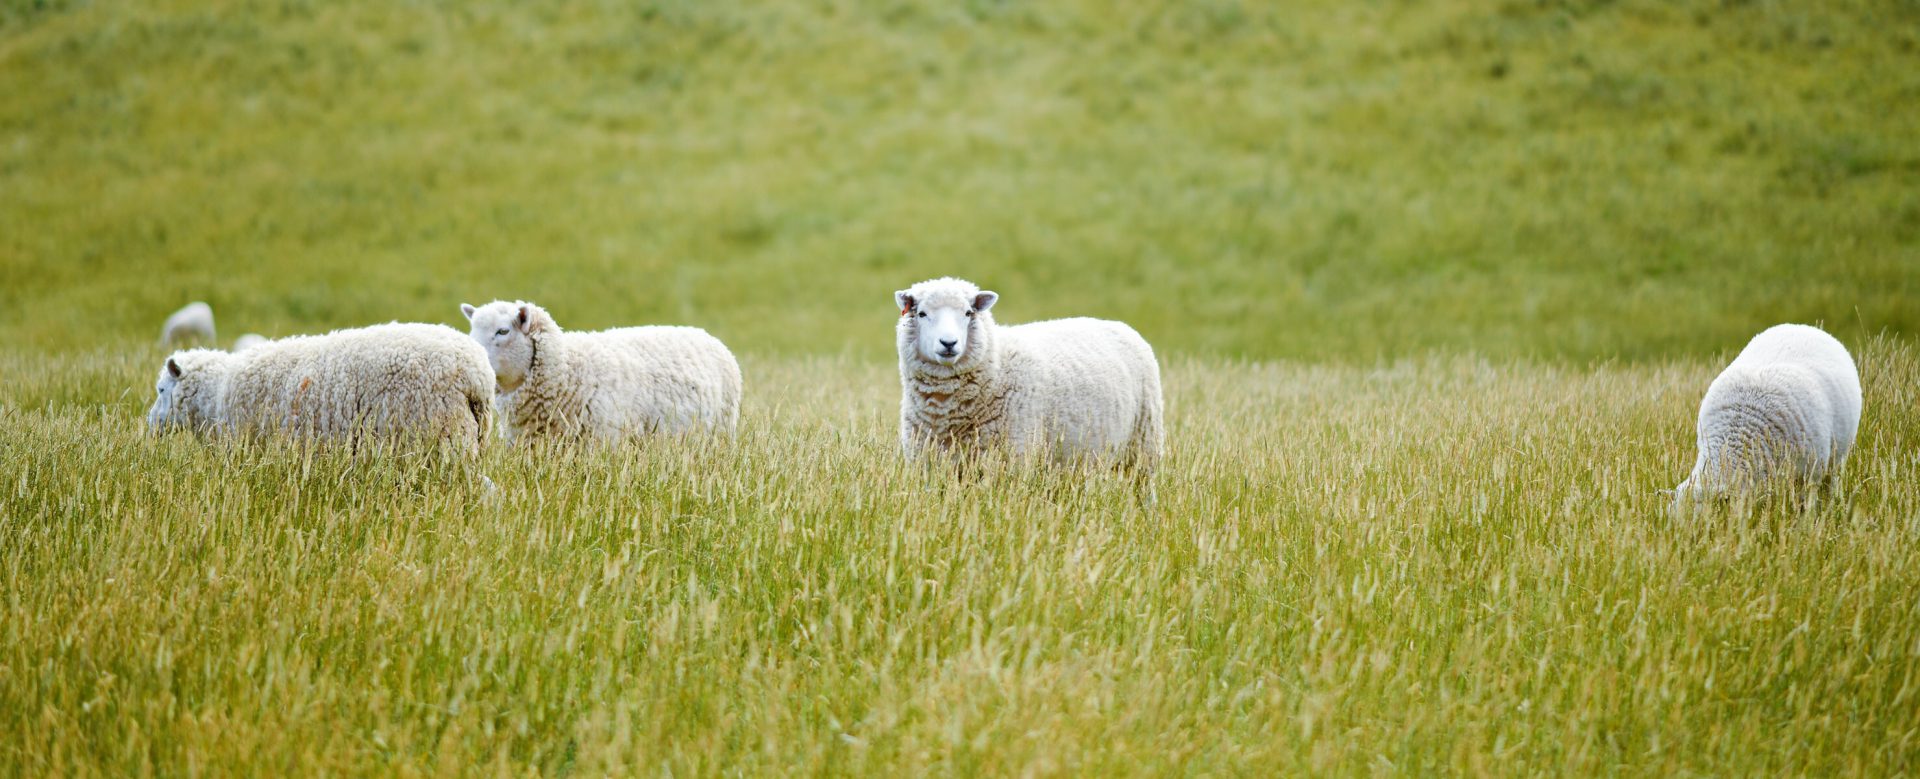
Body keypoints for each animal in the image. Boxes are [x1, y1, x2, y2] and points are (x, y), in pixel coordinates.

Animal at [894, 276, 1164, 482]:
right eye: (921, 313)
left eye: (968, 312)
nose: (948, 343)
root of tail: (1120, 326)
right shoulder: (928, 463)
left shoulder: (1012, 460)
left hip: (1143, 445)